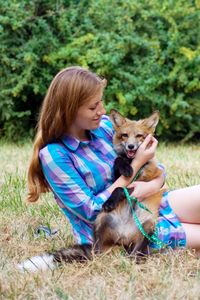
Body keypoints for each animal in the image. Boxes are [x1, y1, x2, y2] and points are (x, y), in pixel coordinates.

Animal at [18, 109, 166, 272]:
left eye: (139, 136)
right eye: (125, 135)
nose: (131, 147)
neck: (133, 162)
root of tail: (124, 238)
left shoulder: (147, 179)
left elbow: (123, 186)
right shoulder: (121, 179)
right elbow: (118, 176)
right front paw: (122, 174)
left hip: (149, 225)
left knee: (137, 253)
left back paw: (136, 260)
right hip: (102, 219)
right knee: (98, 254)